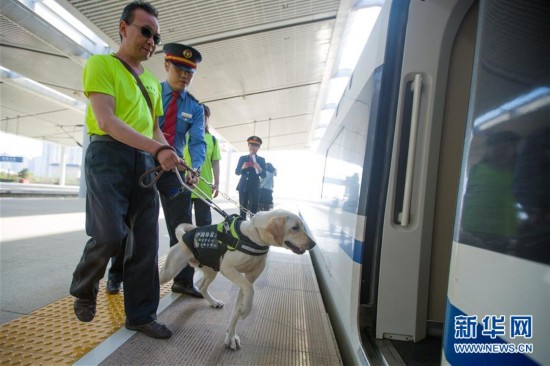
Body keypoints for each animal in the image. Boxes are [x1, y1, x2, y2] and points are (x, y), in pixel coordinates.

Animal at [157, 209, 316, 348]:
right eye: (295, 228)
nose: (313, 244)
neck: (255, 237)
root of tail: (183, 237)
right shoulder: (228, 269)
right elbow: (250, 290)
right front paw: (245, 311)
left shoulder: (247, 279)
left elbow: (237, 309)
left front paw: (232, 336)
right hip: (170, 271)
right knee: (158, 279)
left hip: (211, 270)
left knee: (202, 287)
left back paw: (214, 302)